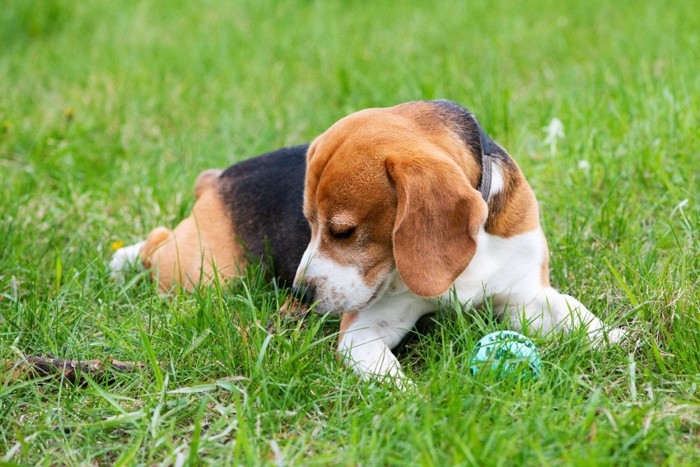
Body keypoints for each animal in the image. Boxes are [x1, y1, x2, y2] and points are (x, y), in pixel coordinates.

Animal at [290, 99, 624, 384]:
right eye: (309, 222)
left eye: (343, 232)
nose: (301, 293)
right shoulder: (360, 333)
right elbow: (390, 379)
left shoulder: (525, 297)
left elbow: (573, 312)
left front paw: (614, 337)